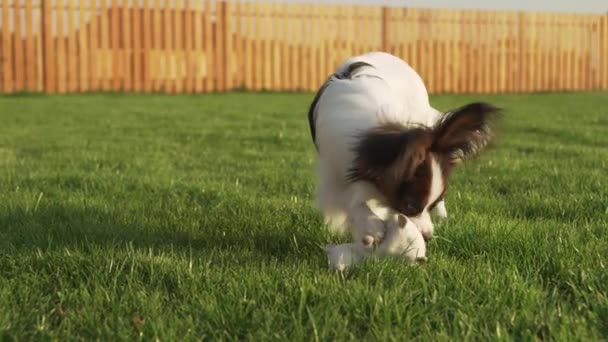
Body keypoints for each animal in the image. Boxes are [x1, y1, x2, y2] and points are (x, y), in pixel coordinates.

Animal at [306, 52, 502, 242]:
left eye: (430, 205)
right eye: (410, 205)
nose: (427, 237)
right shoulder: (334, 173)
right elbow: (351, 201)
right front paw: (371, 226)